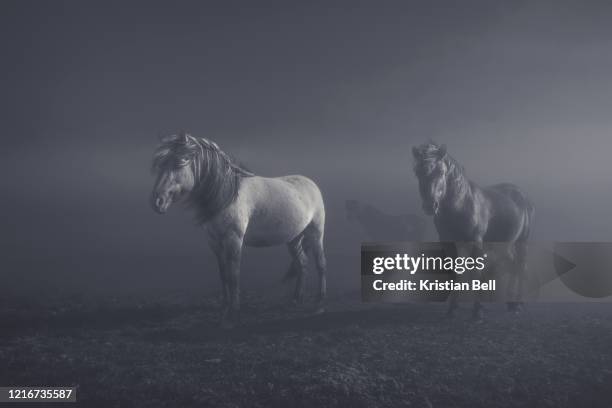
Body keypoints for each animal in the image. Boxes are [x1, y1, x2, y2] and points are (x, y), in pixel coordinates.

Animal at [151, 134, 328, 328]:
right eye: (160, 165)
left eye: (178, 163)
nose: (157, 202)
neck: (227, 194)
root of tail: (311, 183)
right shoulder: (214, 241)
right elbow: (223, 275)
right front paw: (224, 307)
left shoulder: (233, 239)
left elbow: (233, 275)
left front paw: (233, 313)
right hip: (293, 239)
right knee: (302, 263)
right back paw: (297, 299)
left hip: (316, 233)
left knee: (320, 263)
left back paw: (320, 300)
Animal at [412, 142, 536, 320]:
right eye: (417, 172)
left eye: (440, 172)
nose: (430, 206)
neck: (461, 204)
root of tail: (521, 195)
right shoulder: (448, 243)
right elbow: (455, 272)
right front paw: (452, 309)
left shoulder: (476, 242)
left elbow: (476, 273)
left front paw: (477, 311)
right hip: (503, 244)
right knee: (512, 263)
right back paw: (510, 304)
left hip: (522, 241)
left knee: (520, 265)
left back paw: (518, 304)